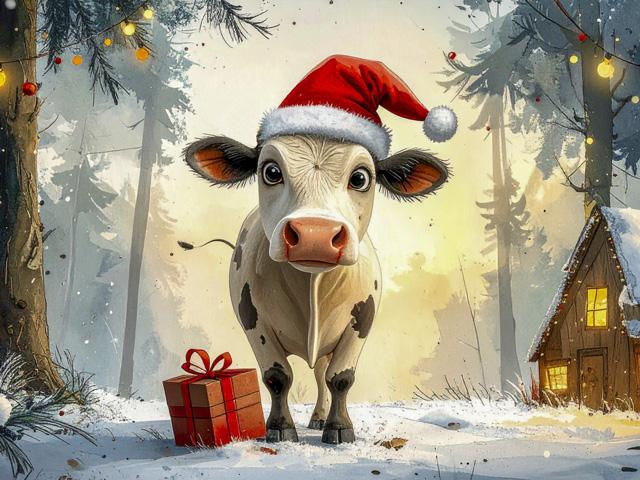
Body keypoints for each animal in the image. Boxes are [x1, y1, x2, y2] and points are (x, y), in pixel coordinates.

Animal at [183, 55, 454, 444]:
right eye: (270, 171)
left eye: (361, 177)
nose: (315, 233)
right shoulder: (252, 320)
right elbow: (277, 377)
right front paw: (280, 429)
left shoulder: (362, 321)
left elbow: (340, 378)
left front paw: (338, 428)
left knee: (322, 375)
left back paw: (320, 417)